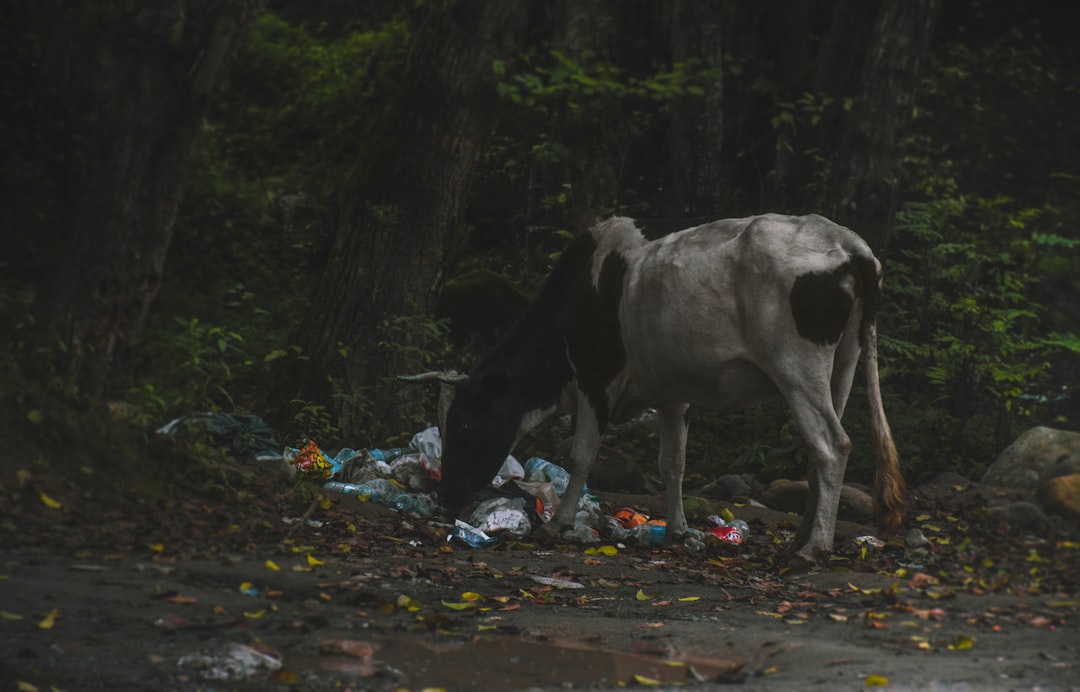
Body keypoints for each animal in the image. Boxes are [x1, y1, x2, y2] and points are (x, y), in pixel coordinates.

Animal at [429, 214, 902, 561]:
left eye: (464, 425)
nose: (444, 495)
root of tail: (848, 244)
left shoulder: (596, 382)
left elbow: (582, 456)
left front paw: (558, 523)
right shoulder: (673, 396)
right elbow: (673, 463)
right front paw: (677, 530)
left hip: (797, 367)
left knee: (832, 445)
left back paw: (815, 547)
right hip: (843, 363)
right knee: (820, 449)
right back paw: (801, 536)